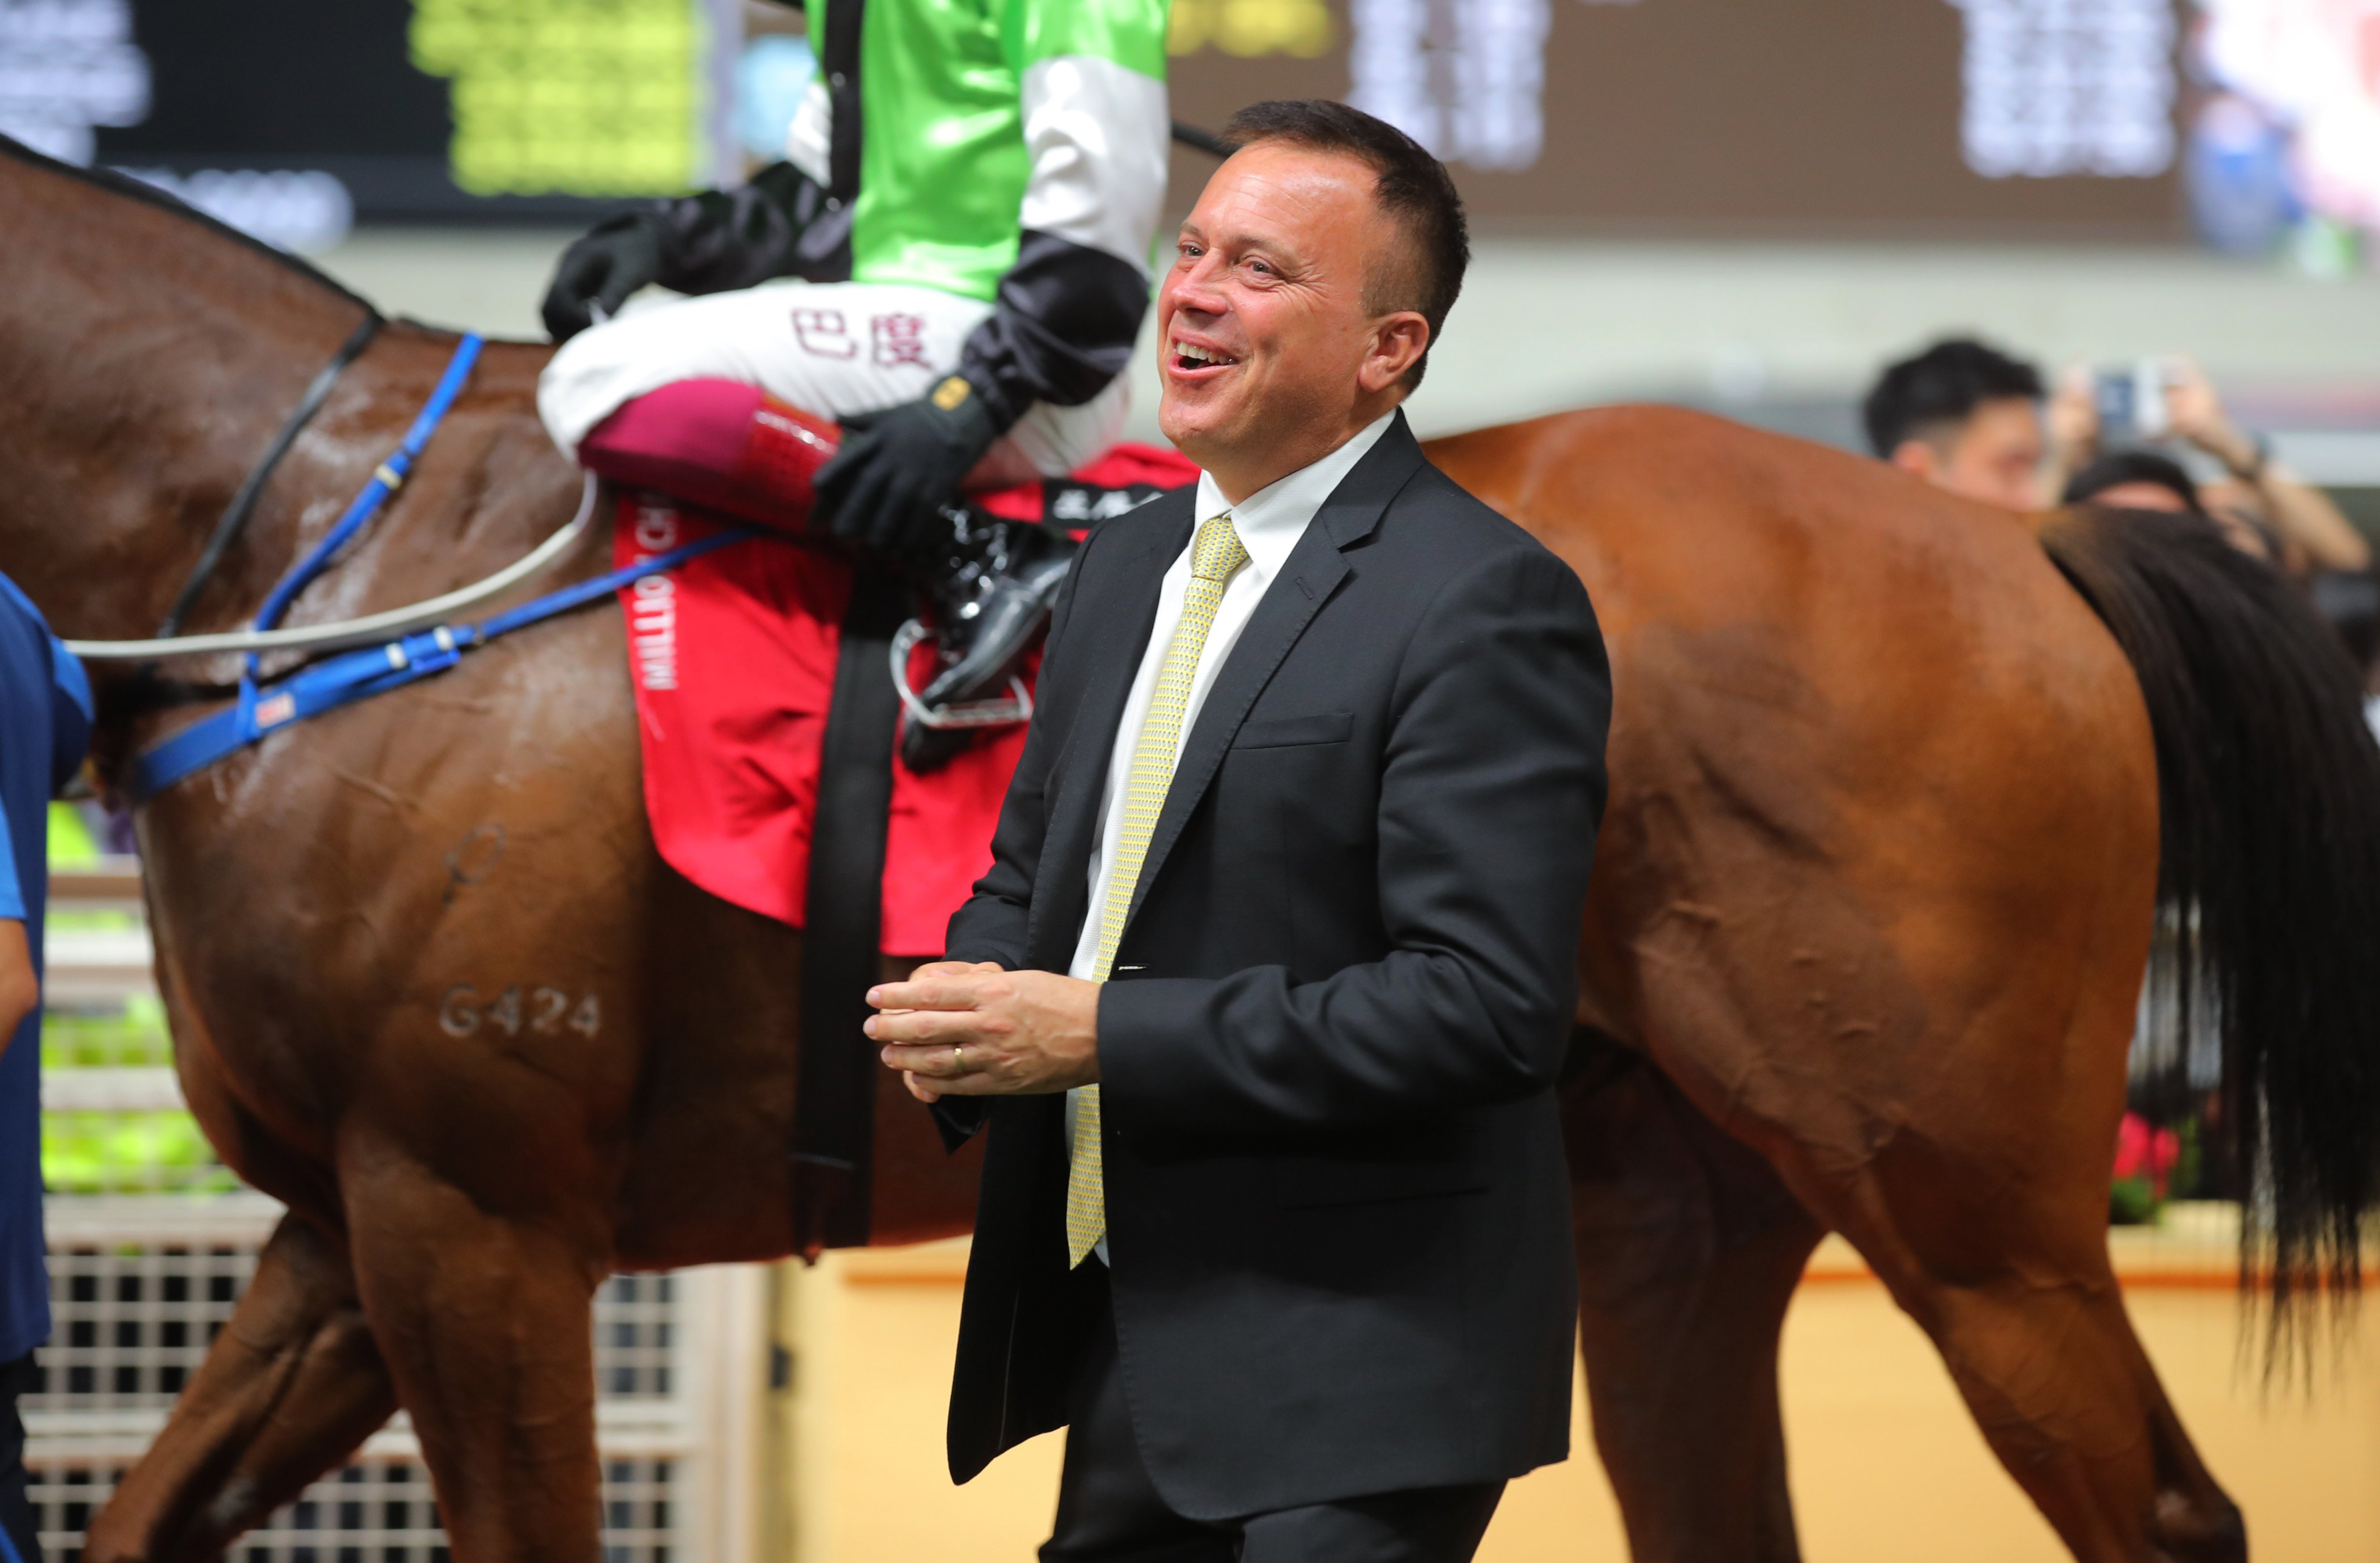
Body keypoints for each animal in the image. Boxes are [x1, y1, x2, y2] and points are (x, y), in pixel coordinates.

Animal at [4, 140, 2379, 1551]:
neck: (338, 559)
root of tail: (2028, 540)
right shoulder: (347, 1228)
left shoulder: (477, 1215)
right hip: (1680, 1210)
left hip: (1971, 1212)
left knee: (2165, 1508)